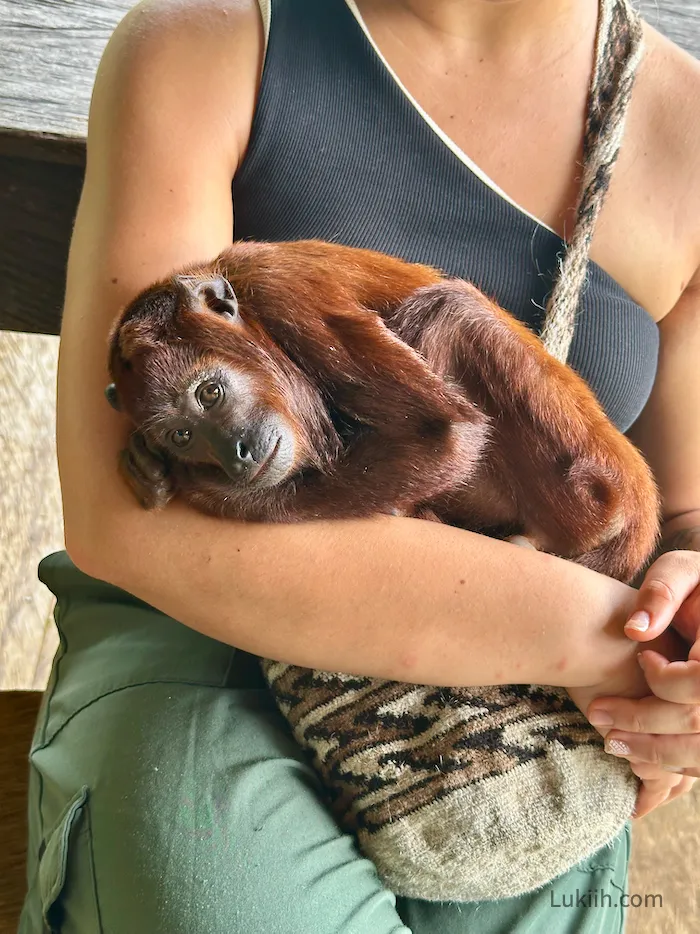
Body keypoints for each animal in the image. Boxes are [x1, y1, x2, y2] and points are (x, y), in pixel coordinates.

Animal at [105, 238, 660, 580]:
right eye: (182, 435)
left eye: (210, 394)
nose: (234, 455)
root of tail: (638, 515)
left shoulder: (284, 292)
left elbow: (442, 430)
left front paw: (204, 492)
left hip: (584, 483)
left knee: (450, 311)